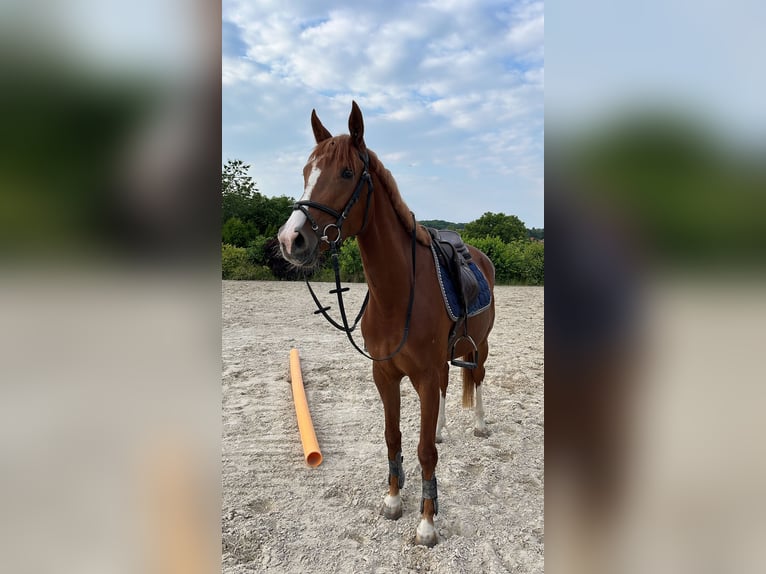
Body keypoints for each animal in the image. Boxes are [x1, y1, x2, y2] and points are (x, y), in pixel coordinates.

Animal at [277, 101, 496, 547]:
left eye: (346, 173)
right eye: (306, 171)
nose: (292, 240)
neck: (399, 292)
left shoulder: (423, 374)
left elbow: (425, 450)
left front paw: (427, 521)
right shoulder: (386, 374)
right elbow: (394, 437)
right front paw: (394, 499)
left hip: (479, 345)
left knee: (478, 377)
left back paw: (479, 425)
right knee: (447, 388)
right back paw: (442, 427)